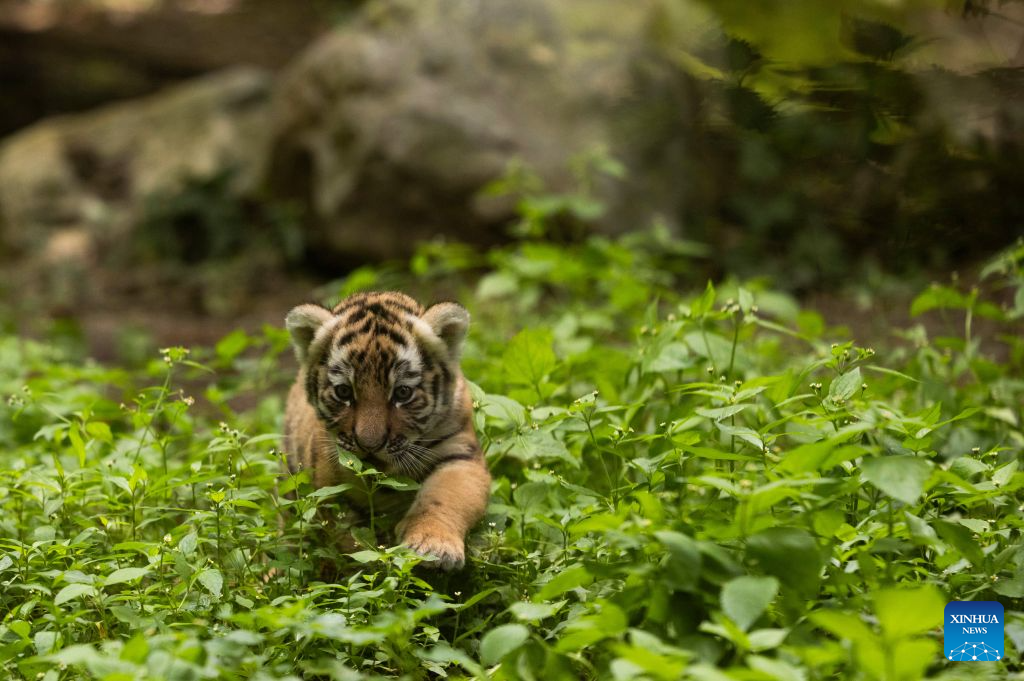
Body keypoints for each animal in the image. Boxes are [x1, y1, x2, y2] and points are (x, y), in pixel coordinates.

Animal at [282, 291, 491, 570]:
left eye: (402, 392)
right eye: (344, 392)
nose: (370, 445)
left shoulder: (460, 453)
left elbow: (445, 495)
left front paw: (433, 547)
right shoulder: (329, 473)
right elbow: (345, 533)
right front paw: (369, 562)